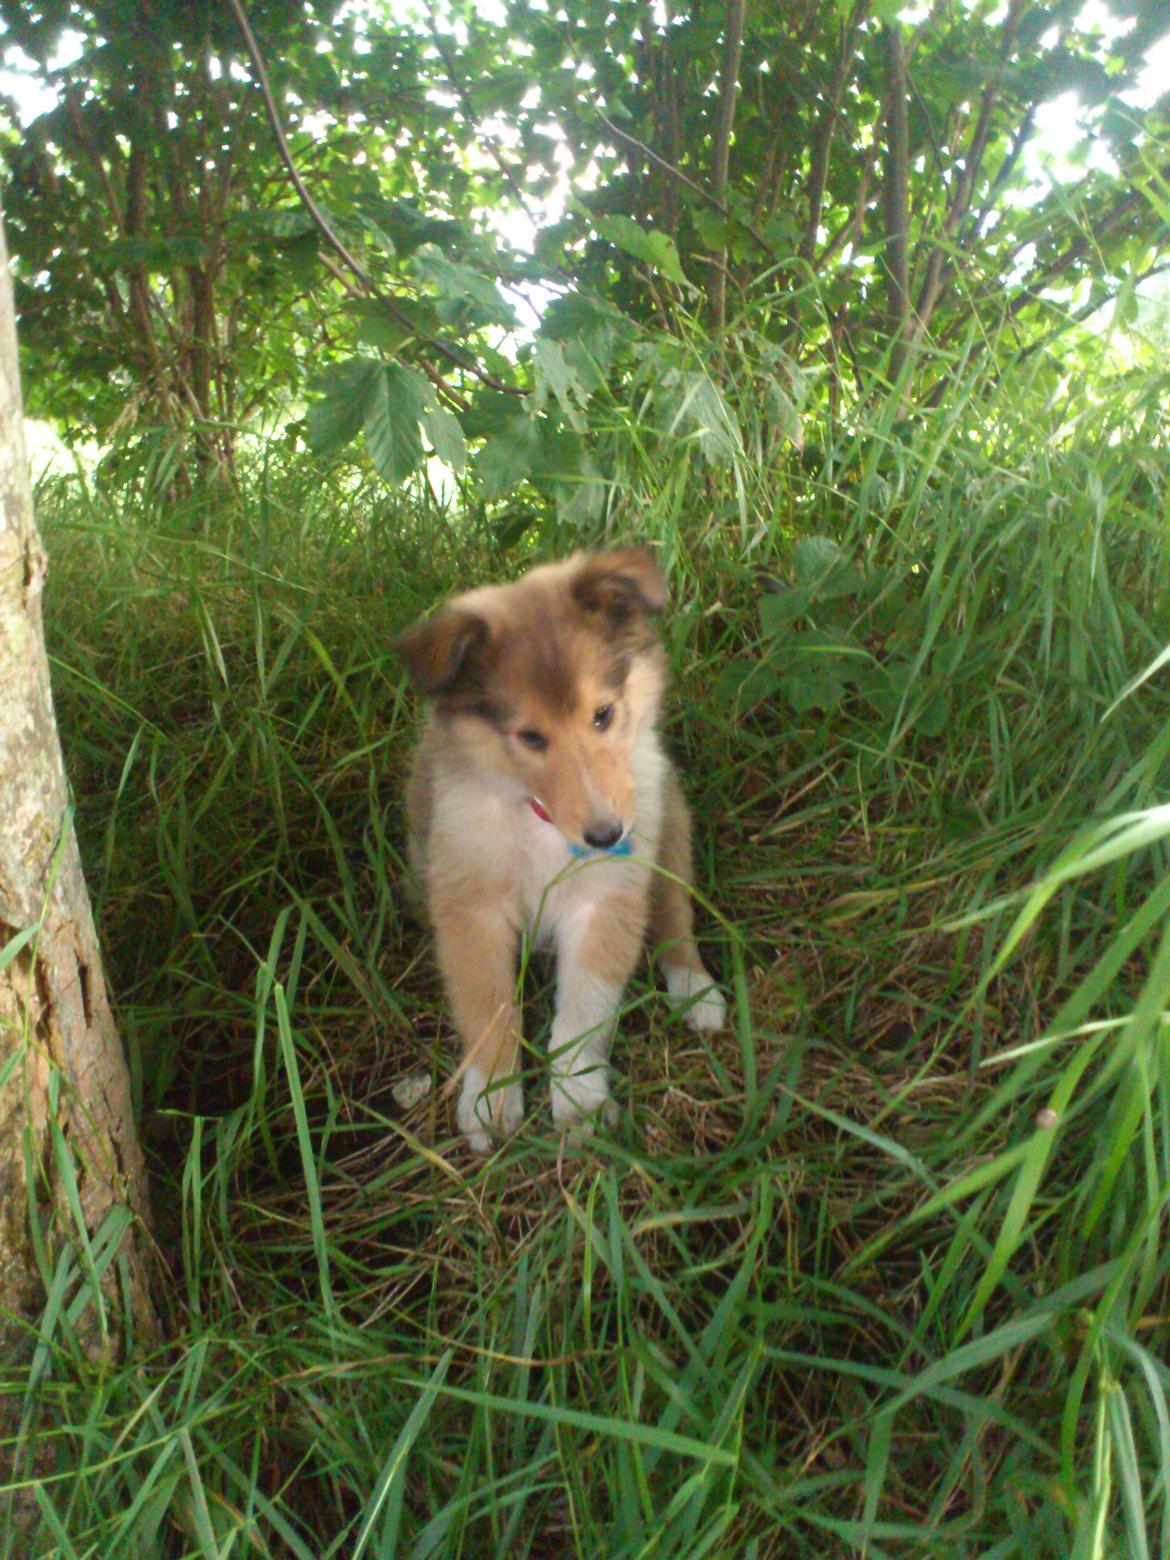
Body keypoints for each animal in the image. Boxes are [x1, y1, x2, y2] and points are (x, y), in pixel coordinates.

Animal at [402, 546, 723, 1148]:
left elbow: (583, 1011)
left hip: (667, 820)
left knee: (674, 914)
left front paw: (579, 1100)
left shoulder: (607, 901)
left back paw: (695, 989)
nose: (606, 836)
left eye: (603, 714)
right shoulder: (470, 905)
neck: (542, 824)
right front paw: (490, 1099)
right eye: (530, 738)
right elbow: (489, 1011)